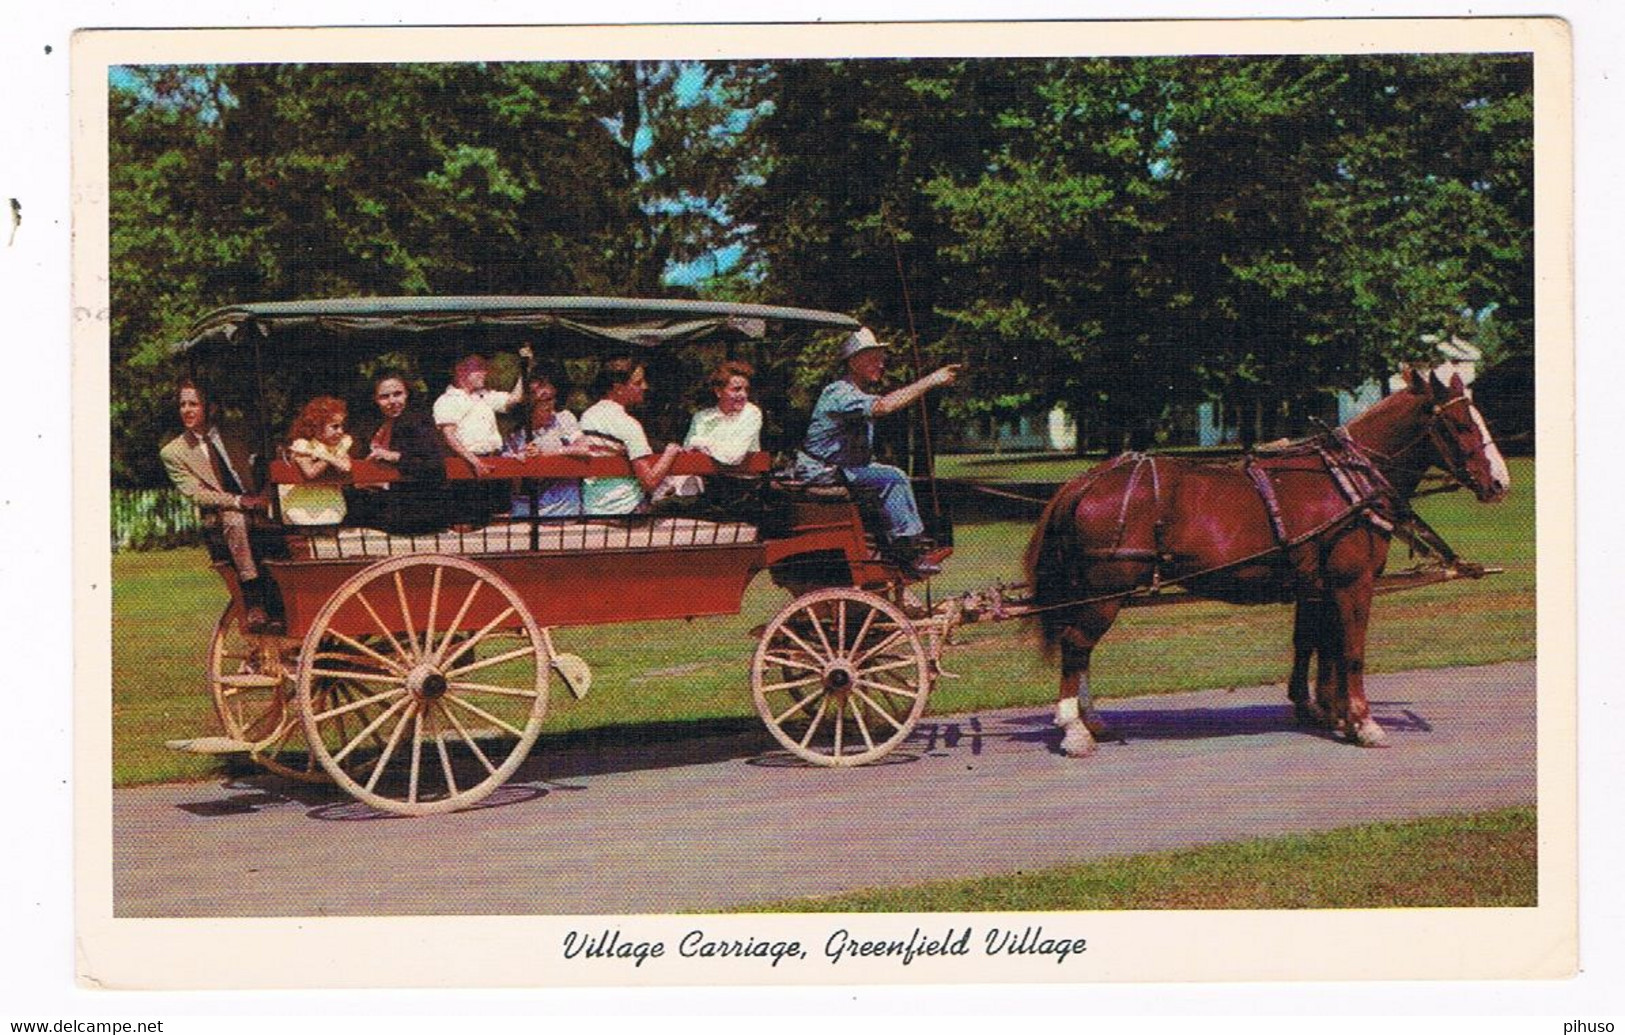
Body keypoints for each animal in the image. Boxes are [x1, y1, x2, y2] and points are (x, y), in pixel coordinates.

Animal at [1027, 367, 1508, 753]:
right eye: (1461, 424)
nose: (1500, 483)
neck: (1348, 482)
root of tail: (1085, 482)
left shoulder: (1319, 587)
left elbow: (1317, 645)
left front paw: (1329, 712)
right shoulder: (1353, 583)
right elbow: (1350, 651)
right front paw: (1363, 722)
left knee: (1081, 650)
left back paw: (1093, 720)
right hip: (1106, 589)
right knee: (1076, 644)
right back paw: (1074, 729)